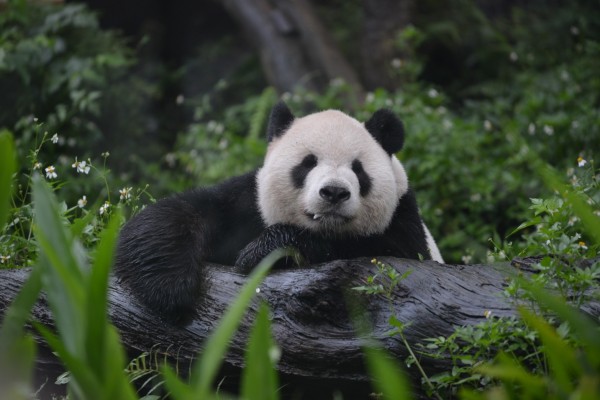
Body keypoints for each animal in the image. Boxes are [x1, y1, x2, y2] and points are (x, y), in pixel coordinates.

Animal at [113, 101, 440, 324]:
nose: (334, 192)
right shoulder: (247, 204)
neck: (325, 227)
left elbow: (386, 253)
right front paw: (169, 290)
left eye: (358, 169)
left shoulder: (403, 217)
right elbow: (181, 213)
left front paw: (265, 249)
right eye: (308, 163)